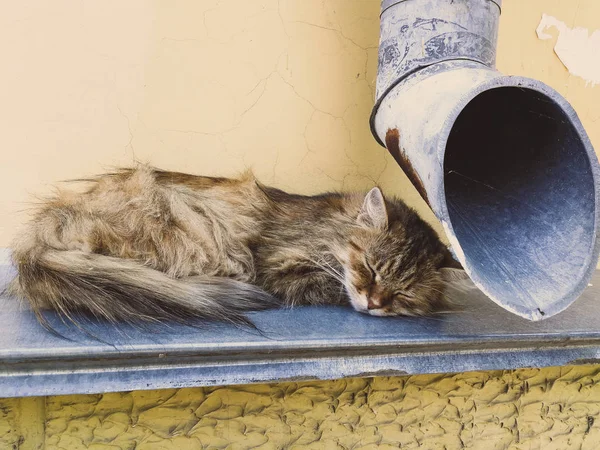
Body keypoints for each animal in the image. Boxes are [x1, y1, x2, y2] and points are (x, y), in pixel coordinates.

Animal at [9, 165, 466, 326]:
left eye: (403, 292)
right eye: (369, 269)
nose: (375, 303)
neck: (329, 226)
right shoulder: (278, 265)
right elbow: (329, 284)